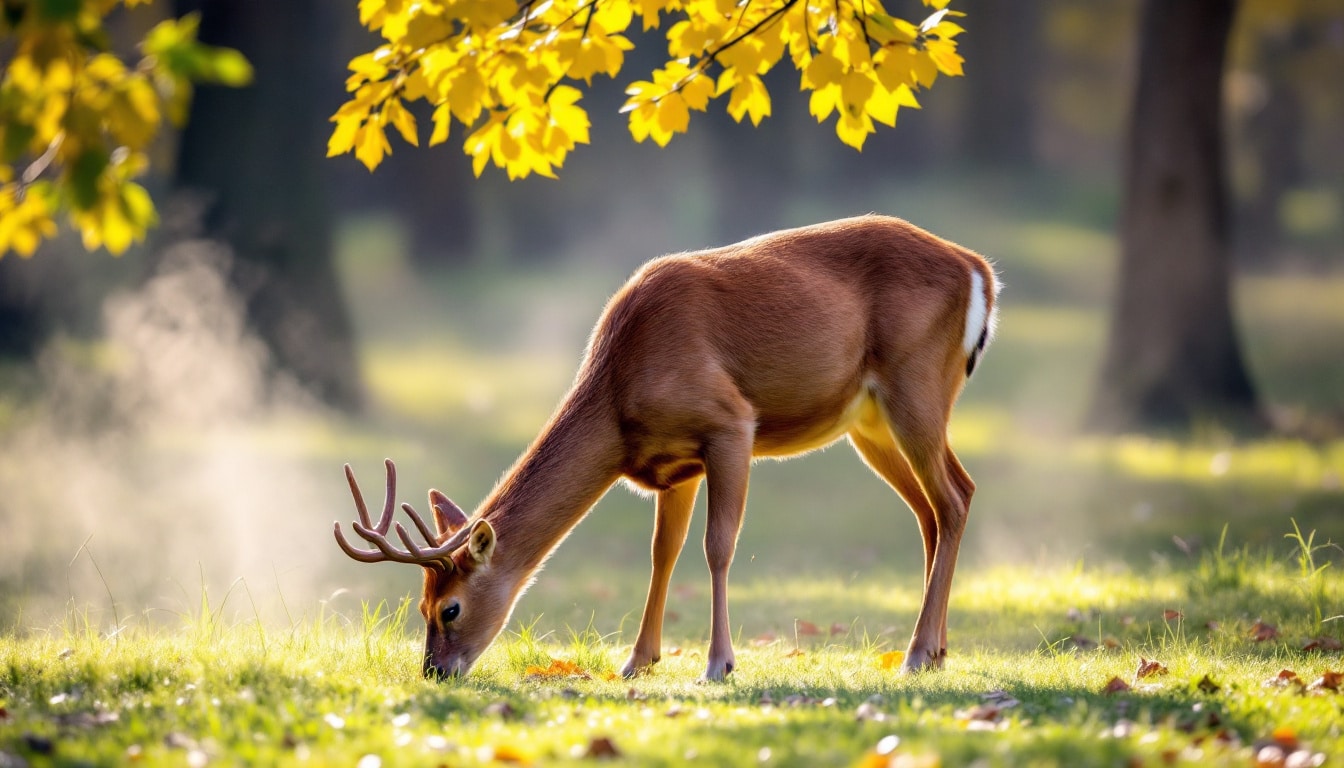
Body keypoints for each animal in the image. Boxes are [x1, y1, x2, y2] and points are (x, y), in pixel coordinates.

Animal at [330, 213, 994, 683]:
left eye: (449, 609)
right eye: (420, 607)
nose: (434, 671)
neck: (619, 392)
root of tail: (978, 269)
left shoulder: (729, 424)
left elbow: (717, 546)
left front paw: (718, 664)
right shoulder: (675, 468)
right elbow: (662, 553)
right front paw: (637, 660)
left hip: (916, 383)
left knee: (955, 497)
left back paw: (915, 654)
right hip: (870, 424)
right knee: (934, 508)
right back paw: (935, 649)